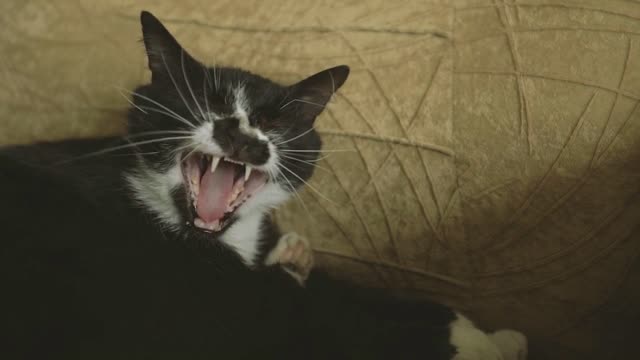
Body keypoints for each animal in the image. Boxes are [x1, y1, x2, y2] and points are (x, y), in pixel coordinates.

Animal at [0, 11, 528, 360]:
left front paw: (495, 335)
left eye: (273, 122)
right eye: (203, 105)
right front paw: (477, 341)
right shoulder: (201, 299)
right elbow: (315, 317)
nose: (240, 135)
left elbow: (340, 287)